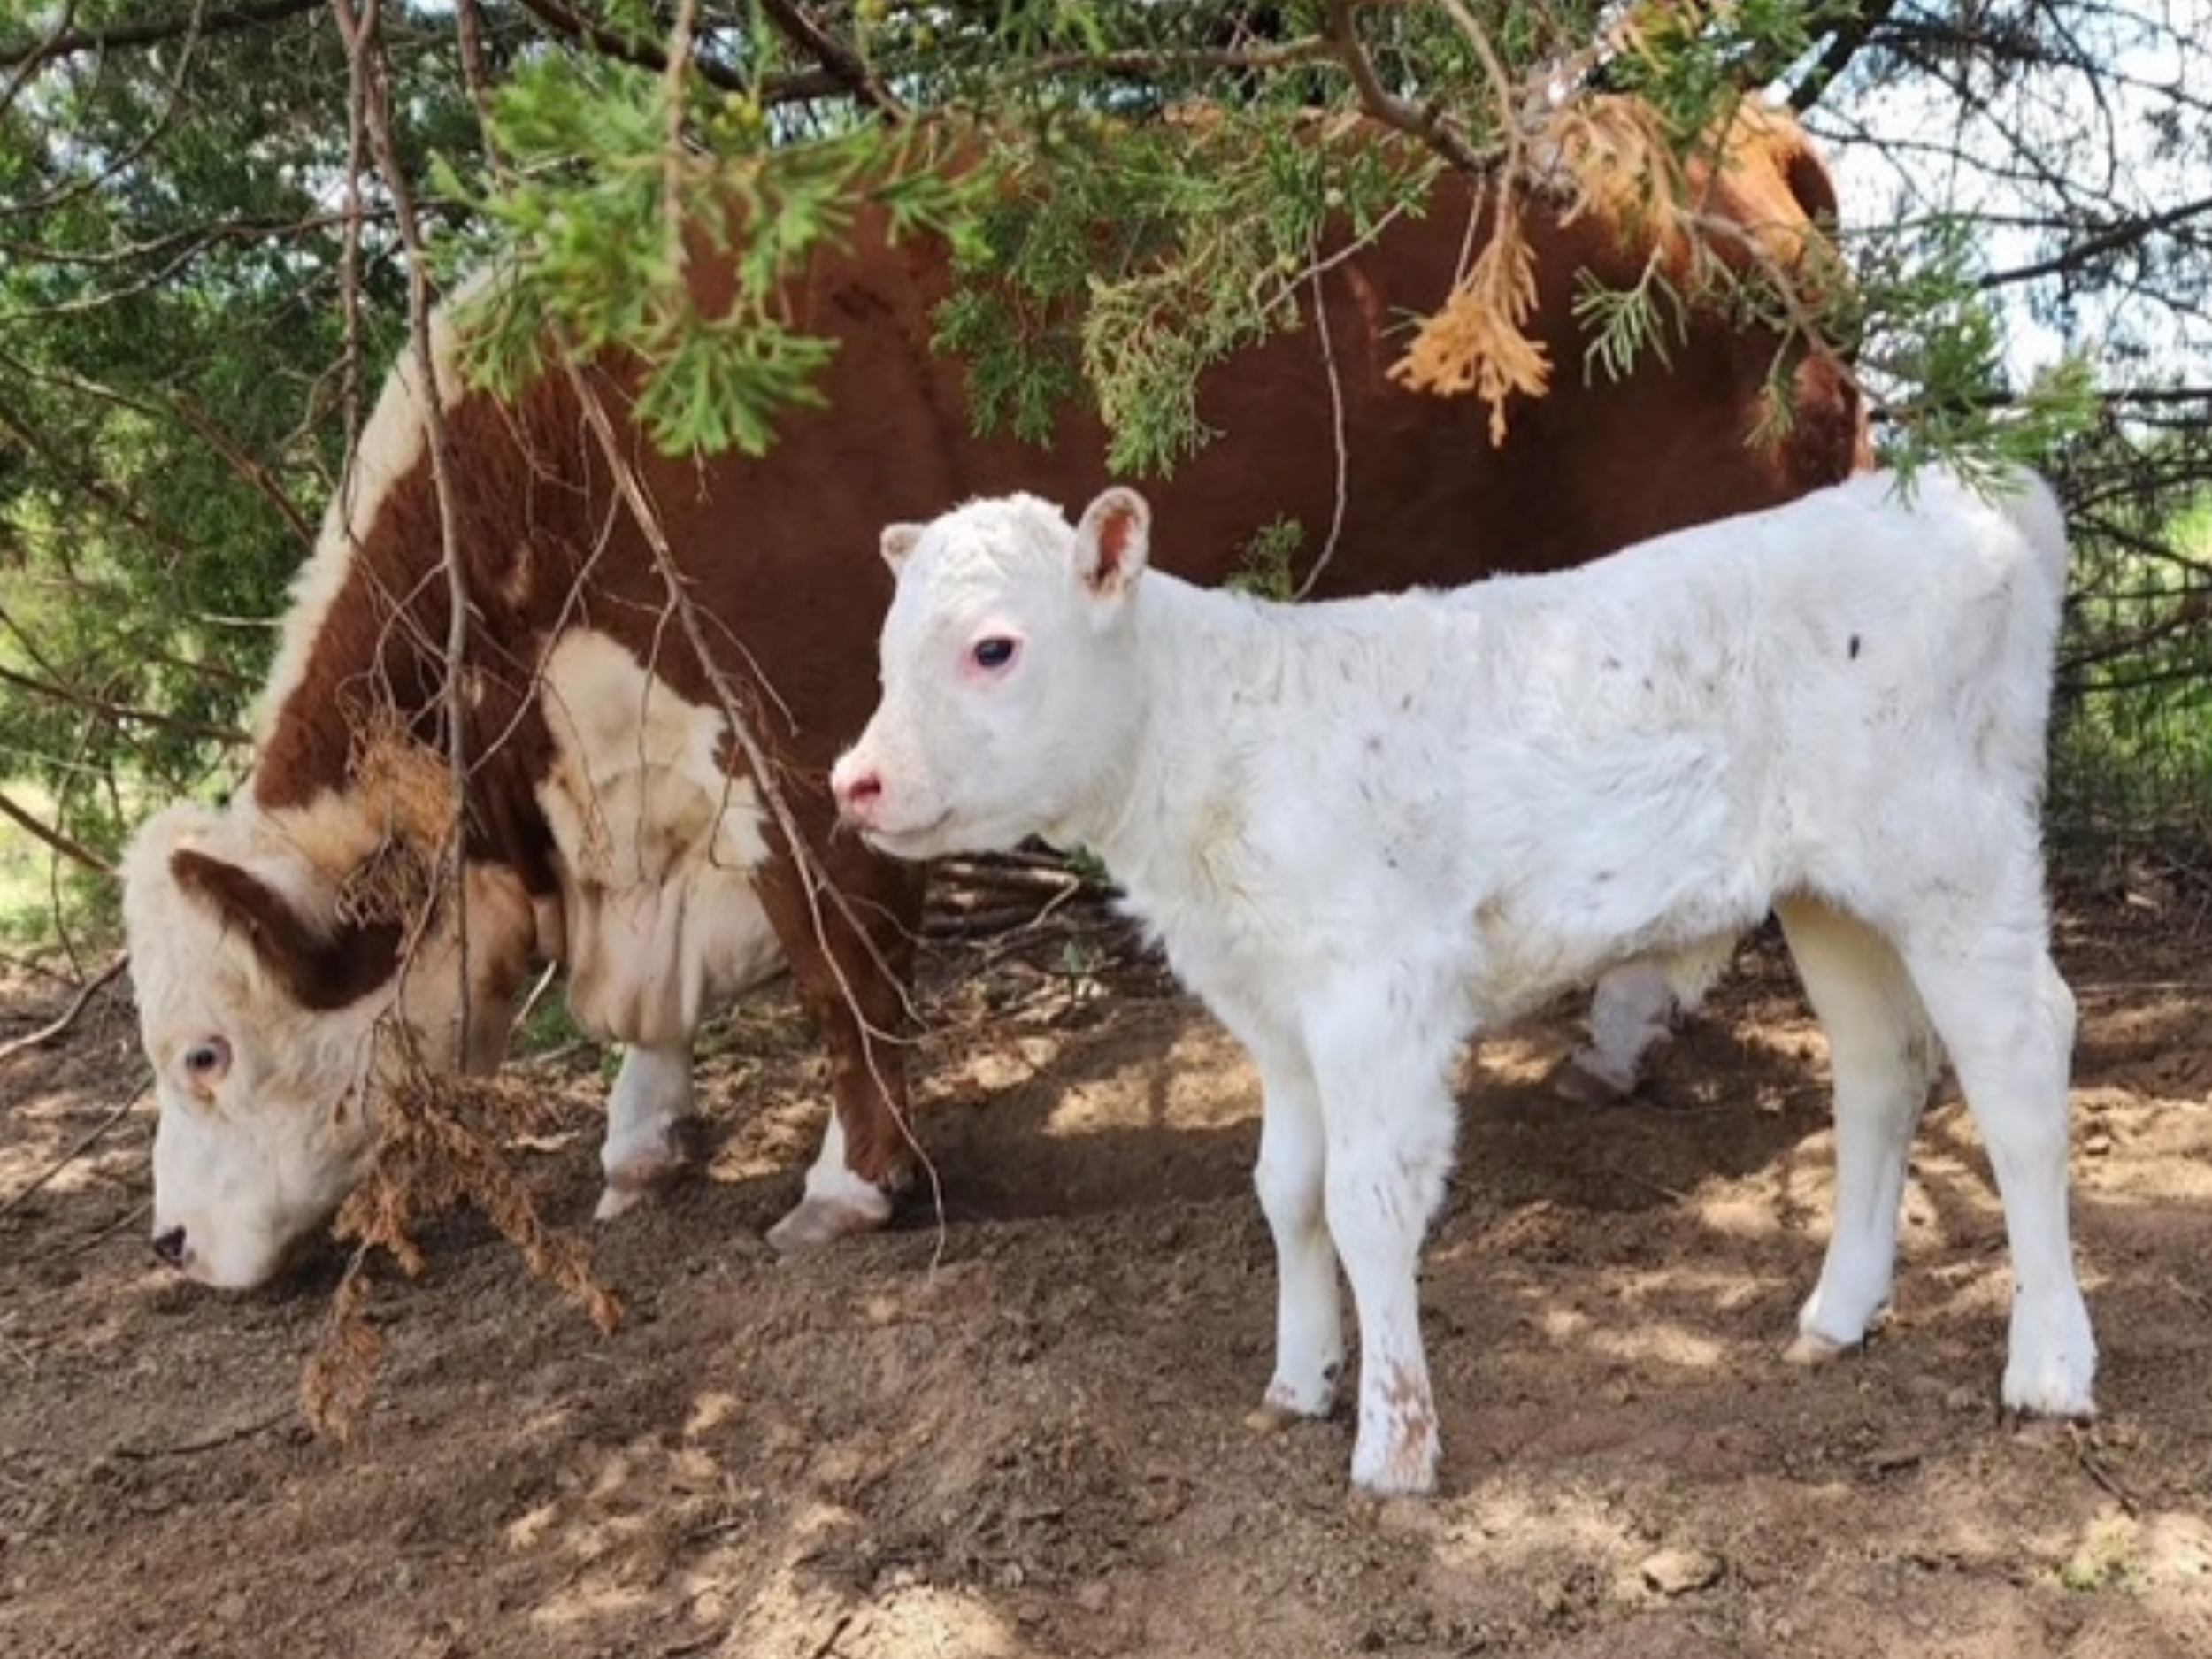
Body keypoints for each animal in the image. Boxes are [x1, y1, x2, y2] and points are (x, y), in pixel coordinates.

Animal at [121, 104, 1864, 1290]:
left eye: (203, 1052)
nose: (170, 1241)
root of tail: (1732, 134)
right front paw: (639, 1139)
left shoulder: (803, 728)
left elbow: (845, 967)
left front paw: (851, 1182)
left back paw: (1636, 1029)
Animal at [829, 473, 2095, 1494]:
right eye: (883, 654)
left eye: (994, 648)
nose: (855, 781)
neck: (1212, 746)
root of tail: (1984, 499)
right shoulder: (1276, 1012)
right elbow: (1284, 1188)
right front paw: (1298, 1382)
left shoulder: (1378, 991)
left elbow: (1365, 1201)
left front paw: (1392, 1449)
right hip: (1830, 894)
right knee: (1882, 1064)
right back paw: (1836, 1315)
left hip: (1951, 853)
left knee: (2020, 1063)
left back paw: (2048, 1365)